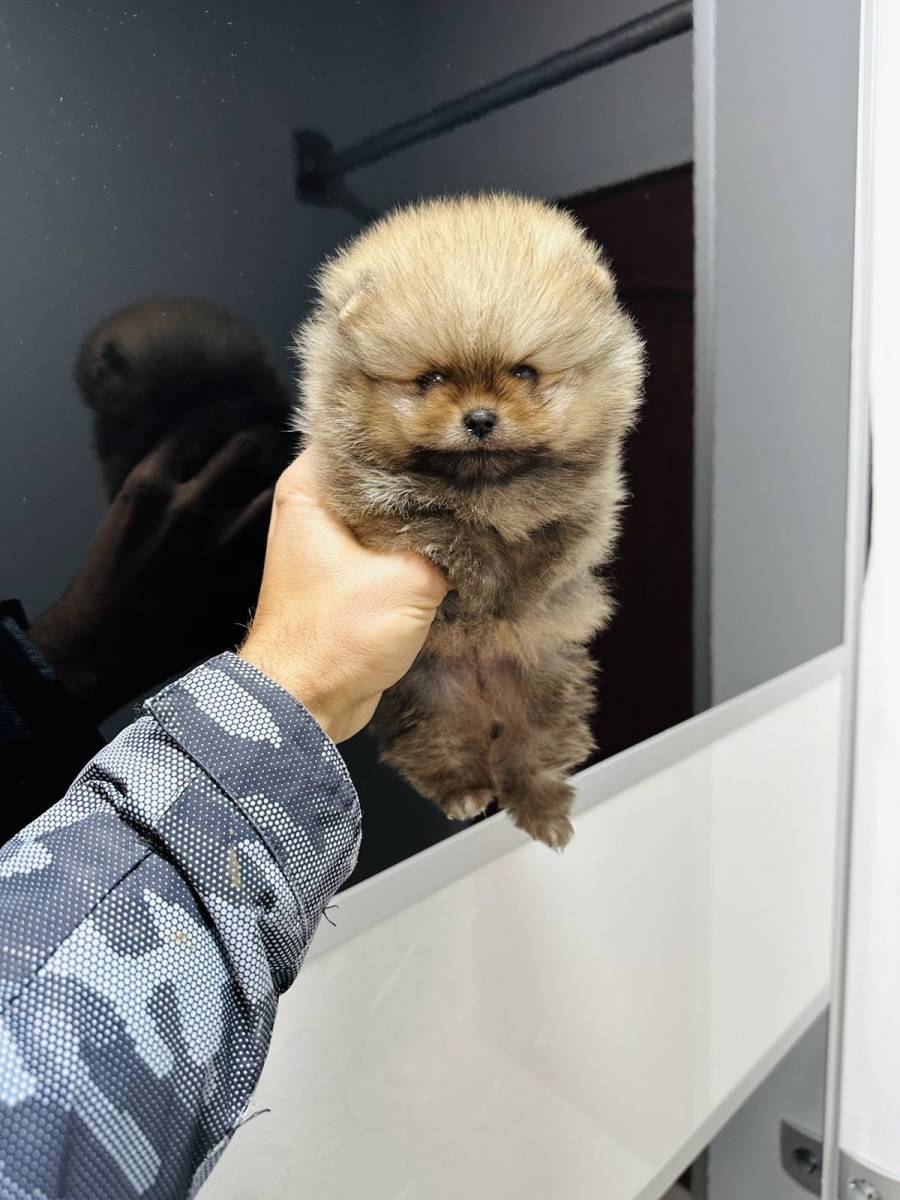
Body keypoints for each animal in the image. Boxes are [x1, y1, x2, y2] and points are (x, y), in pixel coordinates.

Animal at [294, 192, 644, 848]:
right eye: (430, 379)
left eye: (525, 372)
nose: (480, 418)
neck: (487, 484)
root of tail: (485, 701)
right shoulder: (373, 503)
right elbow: (448, 531)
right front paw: (484, 580)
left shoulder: (590, 498)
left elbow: (554, 545)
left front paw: (517, 592)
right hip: (425, 693)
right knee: (437, 747)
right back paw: (463, 790)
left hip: (547, 679)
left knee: (538, 749)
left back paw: (543, 808)